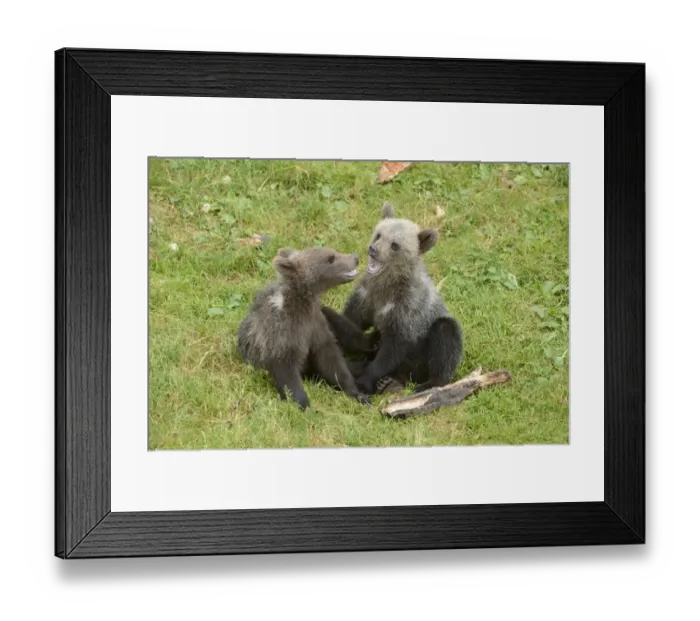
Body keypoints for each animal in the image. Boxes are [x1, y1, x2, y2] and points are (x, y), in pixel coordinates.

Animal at [237, 246, 375, 410]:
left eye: (333, 252)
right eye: (331, 258)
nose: (355, 257)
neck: (303, 305)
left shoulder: (316, 326)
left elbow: (332, 362)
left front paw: (358, 394)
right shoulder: (282, 333)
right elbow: (286, 370)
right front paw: (303, 404)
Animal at [321, 202, 463, 396]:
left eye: (395, 245)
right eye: (379, 235)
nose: (373, 250)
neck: (387, 287)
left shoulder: (406, 312)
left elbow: (392, 349)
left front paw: (365, 381)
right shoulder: (366, 297)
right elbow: (350, 322)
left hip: (425, 353)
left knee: (445, 335)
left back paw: (426, 384)